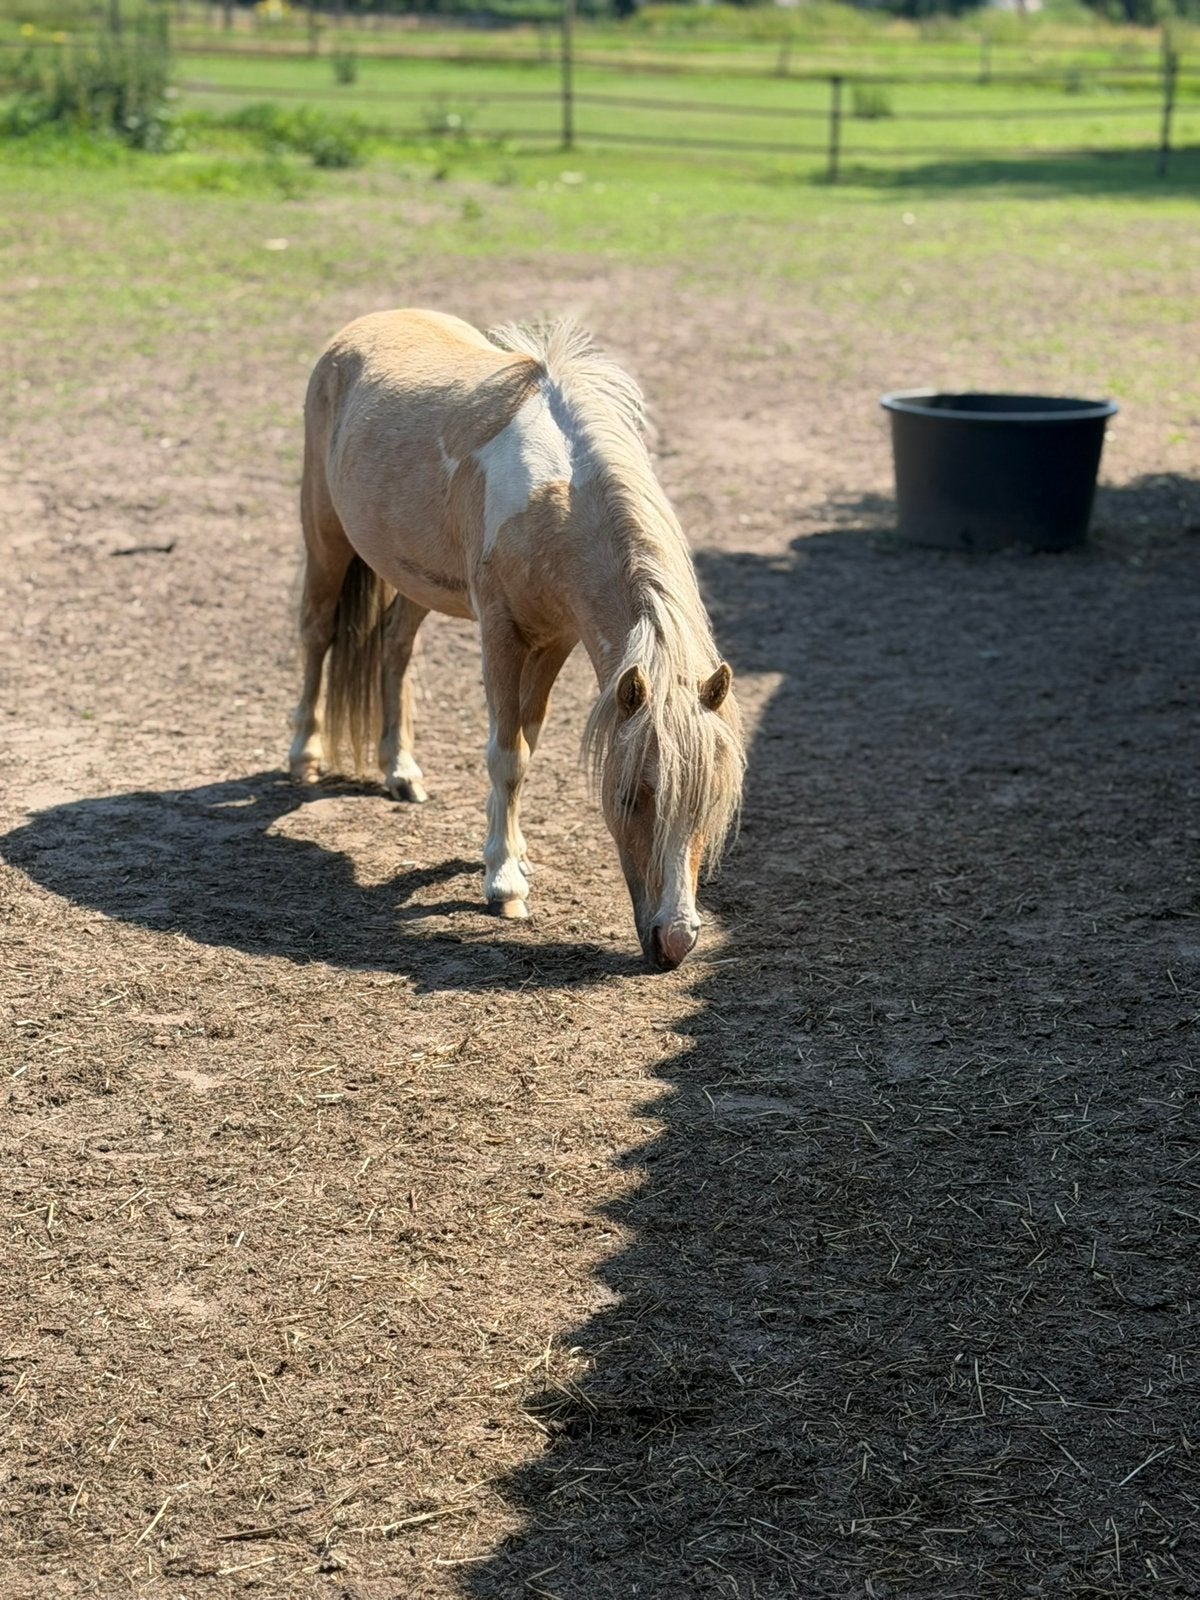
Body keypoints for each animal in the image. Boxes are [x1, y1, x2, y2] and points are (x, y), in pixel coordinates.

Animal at [288, 309, 744, 971]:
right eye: (631, 795)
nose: (675, 941)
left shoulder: (555, 640)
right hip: (324, 535)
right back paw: (305, 754)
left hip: (414, 579)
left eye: (709, 803)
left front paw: (515, 854)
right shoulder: (501, 633)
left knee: (394, 650)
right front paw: (503, 884)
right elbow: (506, 753)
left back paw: (400, 771)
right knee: (316, 632)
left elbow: (527, 744)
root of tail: (360, 330)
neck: (555, 495)